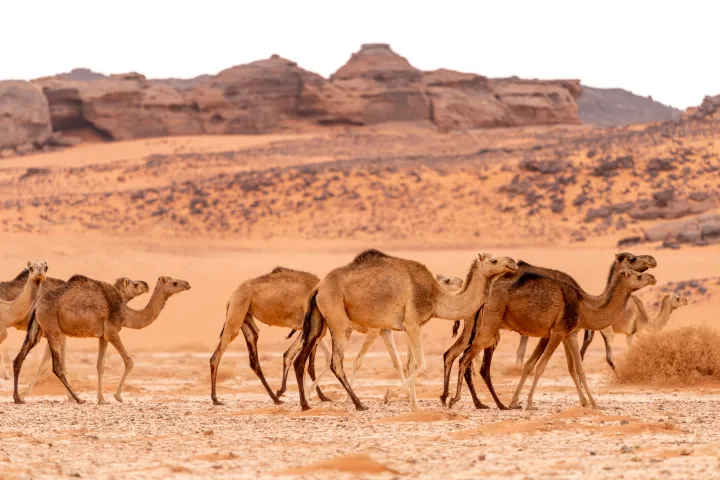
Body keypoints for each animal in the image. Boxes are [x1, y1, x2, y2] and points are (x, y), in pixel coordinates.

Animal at [13, 275, 190, 404]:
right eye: (174, 282)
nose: (187, 283)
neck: (126, 312)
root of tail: (37, 305)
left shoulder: (103, 336)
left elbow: (100, 365)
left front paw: (102, 399)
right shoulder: (112, 332)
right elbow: (129, 361)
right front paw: (117, 396)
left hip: (37, 329)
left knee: (18, 358)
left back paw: (18, 398)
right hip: (53, 330)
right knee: (57, 366)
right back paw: (78, 398)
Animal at [293, 249, 518, 412]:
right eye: (494, 260)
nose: (513, 262)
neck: (435, 296)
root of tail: (319, 286)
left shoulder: (413, 325)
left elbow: (410, 365)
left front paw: (414, 405)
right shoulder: (411, 323)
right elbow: (422, 364)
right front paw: (389, 396)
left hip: (318, 323)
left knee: (300, 359)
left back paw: (306, 404)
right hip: (338, 321)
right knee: (336, 363)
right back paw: (358, 404)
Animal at [442, 253, 658, 408]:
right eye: (634, 261)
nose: (653, 273)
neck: (586, 304)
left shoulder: (570, 333)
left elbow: (576, 368)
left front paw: (591, 403)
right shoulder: (557, 333)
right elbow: (540, 366)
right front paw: (528, 403)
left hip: (475, 326)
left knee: (453, 353)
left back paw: (465, 401)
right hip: (490, 326)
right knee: (470, 360)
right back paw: (465, 401)